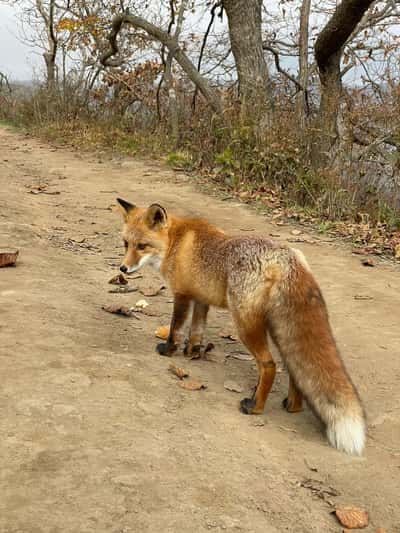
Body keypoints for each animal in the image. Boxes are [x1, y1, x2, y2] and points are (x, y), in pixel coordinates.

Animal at [115, 197, 366, 456]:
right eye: (126, 244)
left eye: (142, 246)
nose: (122, 268)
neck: (176, 242)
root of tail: (287, 258)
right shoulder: (201, 299)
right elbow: (196, 331)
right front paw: (192, 352)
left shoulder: (182, 295)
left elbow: (176, 328)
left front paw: (168, 350)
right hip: (279, 329)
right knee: (293, 368)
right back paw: (292, 406)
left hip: (245, 325)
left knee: (269, 365)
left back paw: (255, 406)